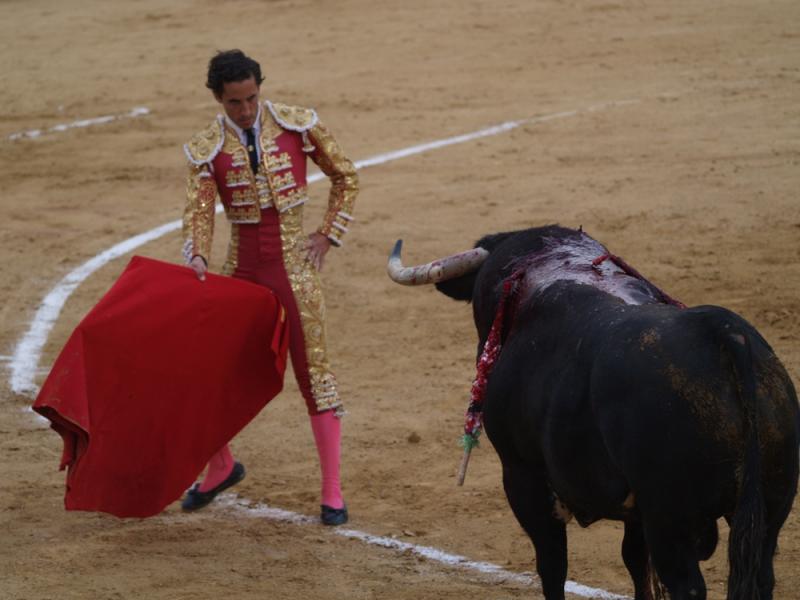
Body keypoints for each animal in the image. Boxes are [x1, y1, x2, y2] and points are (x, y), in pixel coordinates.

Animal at [386, 225, 792, 600]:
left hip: (669, 517)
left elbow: (552, 565)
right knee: (761, 576)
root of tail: (725, 334)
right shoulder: (636, 511)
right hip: (771, 503)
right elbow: (634, 562)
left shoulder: (522, 475)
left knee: (687, 586)